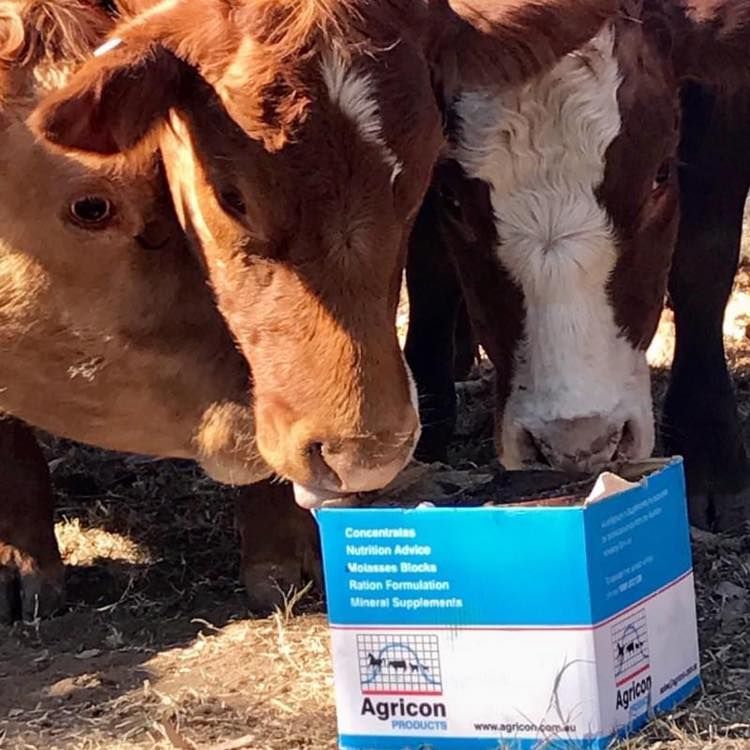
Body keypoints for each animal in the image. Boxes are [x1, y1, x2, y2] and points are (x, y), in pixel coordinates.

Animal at [405, 0, 750, 531]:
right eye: (453, 200)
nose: (577, 444)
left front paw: (710, 453)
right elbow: (427, 265)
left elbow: (703, 255)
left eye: (659, 175)